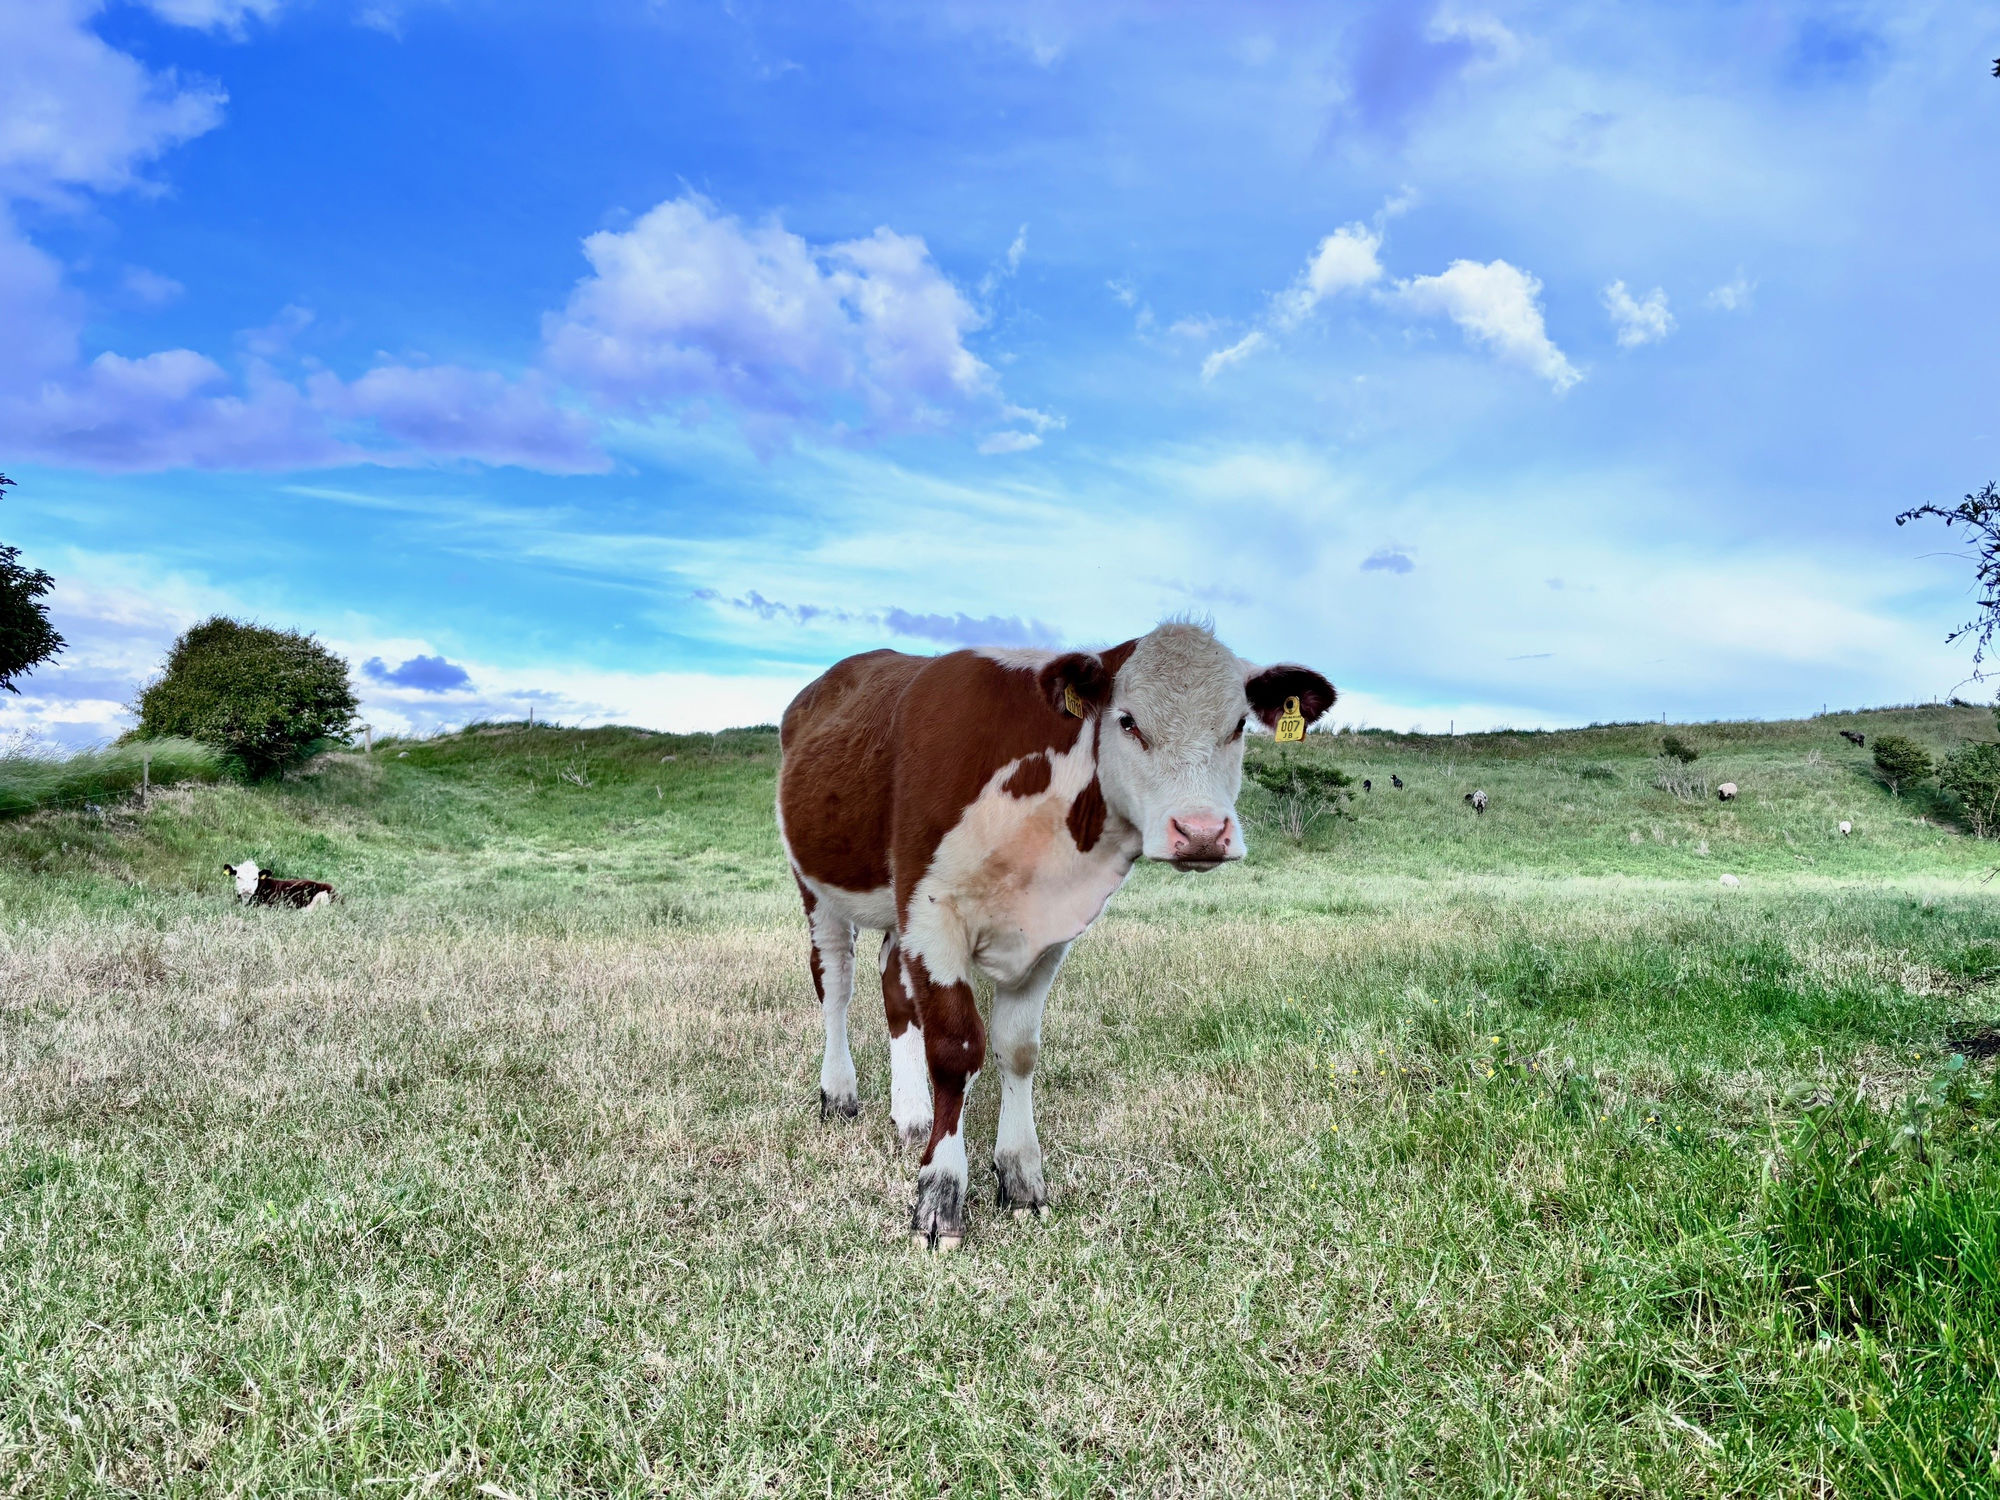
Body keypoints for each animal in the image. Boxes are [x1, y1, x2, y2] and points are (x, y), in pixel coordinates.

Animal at [777, 622, 1335, 1250]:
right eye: (1127, 720)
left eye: (1238, 724)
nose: (1201, 832)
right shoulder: (931, 910)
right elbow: (955, 1049)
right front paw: (940, 1194)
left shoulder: (1048, 932)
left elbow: (1017, 1048)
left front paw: (1020, 1177)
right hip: (817, 886)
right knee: (836, 983)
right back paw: (839, 1093)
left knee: (895, 990)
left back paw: (912, 1113)